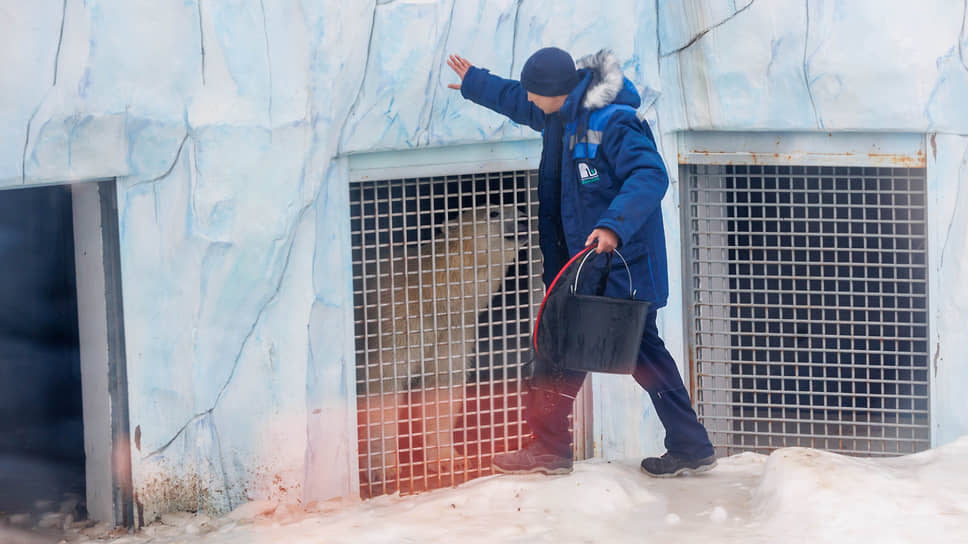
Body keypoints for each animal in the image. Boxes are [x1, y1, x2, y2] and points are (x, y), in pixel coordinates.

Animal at [360, 203, 532, 488]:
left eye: (519, 209)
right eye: (494, 212)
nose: (524, 221)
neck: (431, 294)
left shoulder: (453, 331)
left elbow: (441, 385)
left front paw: (449, 459)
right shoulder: (396, 323)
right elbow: (383, 384)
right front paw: (384, 470)